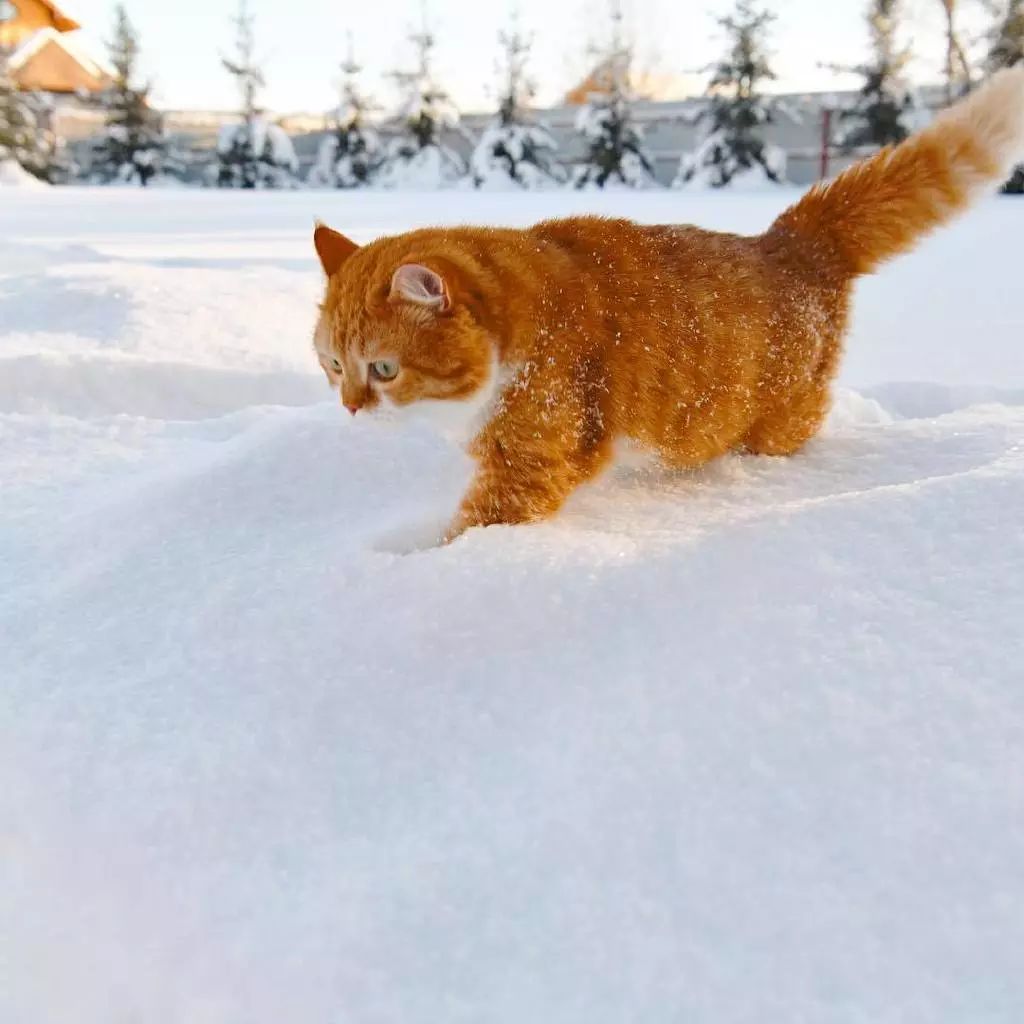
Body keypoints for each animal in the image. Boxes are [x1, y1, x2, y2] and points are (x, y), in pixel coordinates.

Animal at [309, 68, 1024, 540]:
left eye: (383, 369)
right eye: (333, 366)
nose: (350, 408)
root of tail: (789, 239)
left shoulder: (530, 464)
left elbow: (472, 530)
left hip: (778, 418)